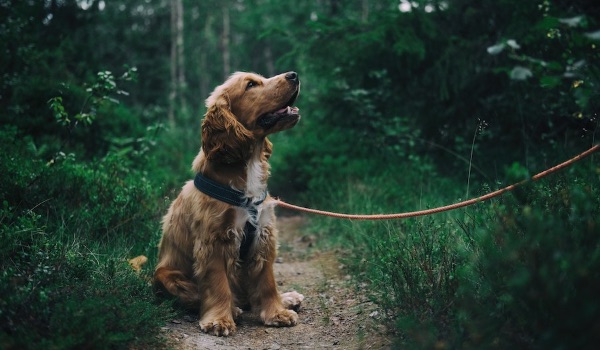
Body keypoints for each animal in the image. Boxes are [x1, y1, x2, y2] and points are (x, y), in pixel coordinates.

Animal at [155, 71, 304, 336]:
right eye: (251, 85)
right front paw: (219, 320)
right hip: (167, 276)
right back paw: (233, 309)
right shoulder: (214, 240)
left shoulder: (263, 235)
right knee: (198, 296)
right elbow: (217, 284)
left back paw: (287, 298)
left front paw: (277, 312)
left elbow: (267, 281)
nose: (294, 75)